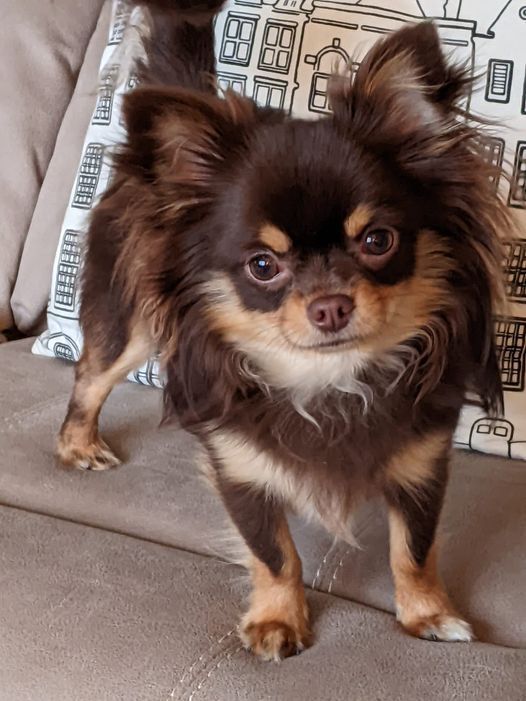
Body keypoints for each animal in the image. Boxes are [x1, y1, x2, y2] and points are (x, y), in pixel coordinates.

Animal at [56, 0, 512, 660]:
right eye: (263, 266)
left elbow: (415, 549)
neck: (330, 382)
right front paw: (278, 619)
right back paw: (77, 444)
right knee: (90, 376)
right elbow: (274, 553)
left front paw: (427, 614)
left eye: (379, 241)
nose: (330, 306)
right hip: (132, 325)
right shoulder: (239, 467)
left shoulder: (422, 462)